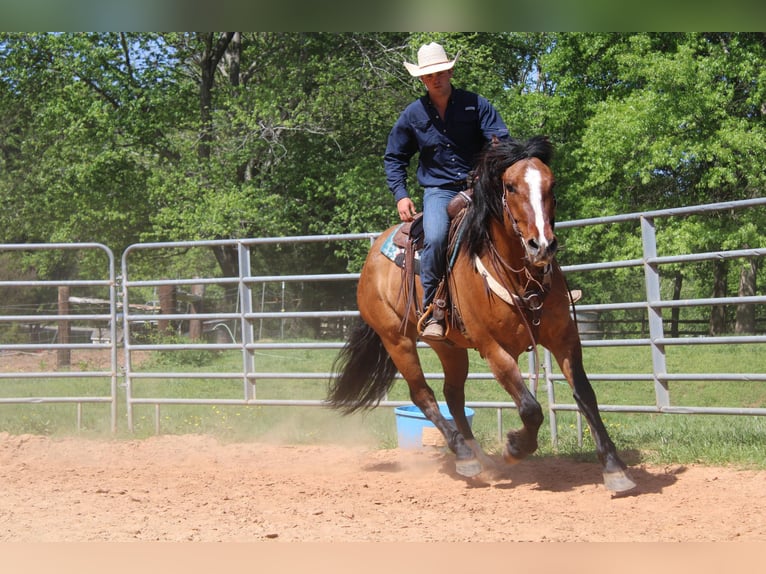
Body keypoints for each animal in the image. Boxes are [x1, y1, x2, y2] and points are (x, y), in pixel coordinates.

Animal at [328, 136, 636, 496]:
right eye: (511, 186)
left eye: (552, 183)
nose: (542, 245)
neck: (519, 275)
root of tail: (374, 255)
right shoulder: (494, 350)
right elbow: (531, 408)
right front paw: (515, 447)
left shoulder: (565, 339)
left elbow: (585, 394)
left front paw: (614, 468)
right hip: (397, 340)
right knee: (423, 394)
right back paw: (464, 455)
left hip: (449, 347)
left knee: (453, 395)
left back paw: (479, 459)